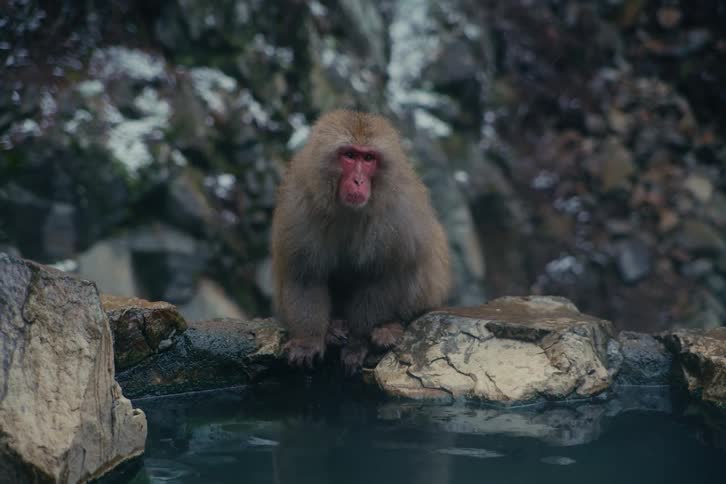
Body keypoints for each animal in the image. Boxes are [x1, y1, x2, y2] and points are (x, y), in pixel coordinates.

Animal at [271, 110, 451, 374]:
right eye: (349, 155)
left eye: (368, 158)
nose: (357, 181)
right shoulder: (300, 204)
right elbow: (304, 274)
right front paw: (308, 341)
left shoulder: (396, 217)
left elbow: (382, 278)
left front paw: (357, 344)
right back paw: (333, 329)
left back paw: (388, 327)